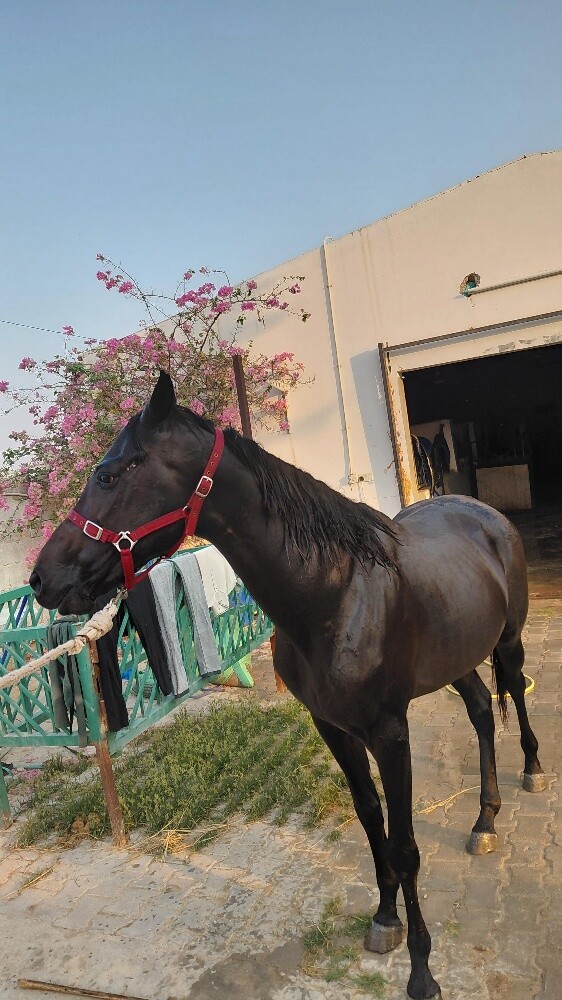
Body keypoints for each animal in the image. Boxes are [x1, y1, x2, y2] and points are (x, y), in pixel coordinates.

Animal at [30, 371, 546, 1000]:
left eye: (108, 474)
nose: (42, 578)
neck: (335, 593)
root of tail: (483, 513)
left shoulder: (389, 732)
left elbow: (404, 846)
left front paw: (422, 970)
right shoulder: (332, 727)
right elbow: (371, 821)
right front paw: (385, 919)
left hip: (508, 641)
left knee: (513, 692)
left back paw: (531, 771)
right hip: (458, 658)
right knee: (479, 711)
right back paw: (485, 819)